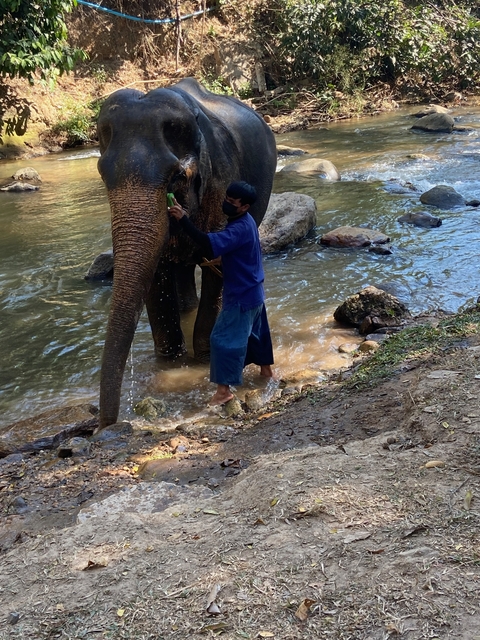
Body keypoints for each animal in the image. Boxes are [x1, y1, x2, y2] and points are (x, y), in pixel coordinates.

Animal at [96, 78, 277, 429]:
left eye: (177, 176)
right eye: (102, 174)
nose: (104, 425)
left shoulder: (221, 177)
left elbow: (217, 264)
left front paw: (204, 358)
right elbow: (157, 275)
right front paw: (169, 363)